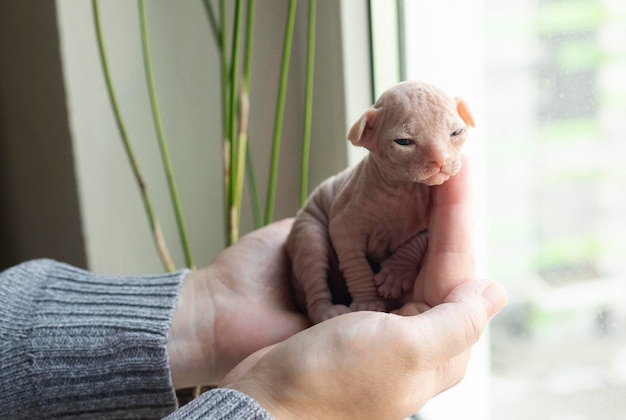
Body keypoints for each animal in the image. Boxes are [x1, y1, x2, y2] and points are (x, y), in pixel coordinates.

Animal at [286, 82, 472, 324]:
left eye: (456, 132)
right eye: (404, 142)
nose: (440, 160)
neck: (403, 189)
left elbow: (416, 241)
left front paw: (395, 275)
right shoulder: (343, 225)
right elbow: (356, 265)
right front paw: (368, 302)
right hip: (307, 231)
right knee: (314, 271)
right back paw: (327, 312)